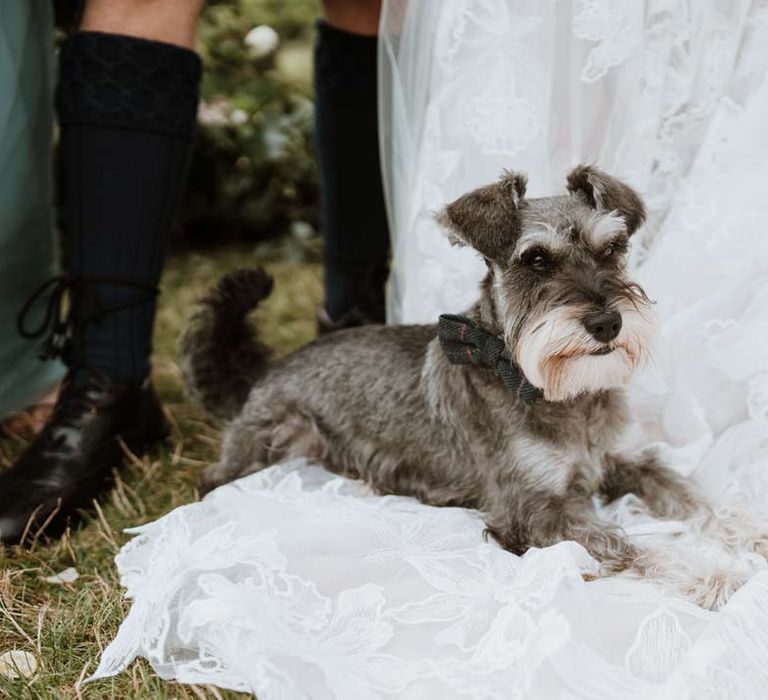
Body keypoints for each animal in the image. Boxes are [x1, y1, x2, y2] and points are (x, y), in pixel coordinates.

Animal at [182, 164, 768, 608]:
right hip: (275, 440)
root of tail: (265, 374)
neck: (556, 394)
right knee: (214, 478)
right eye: (536, 259)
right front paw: (712, 575)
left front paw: (753, 533)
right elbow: (629, 545)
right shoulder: (534, 512)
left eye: (613, 248)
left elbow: (698, 499)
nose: (607, 324)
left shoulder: (629, 461)